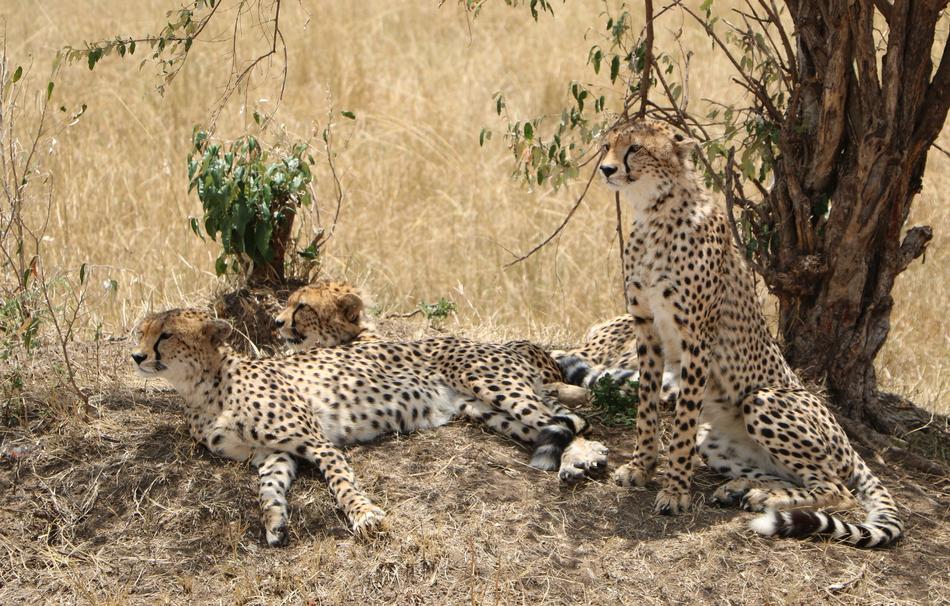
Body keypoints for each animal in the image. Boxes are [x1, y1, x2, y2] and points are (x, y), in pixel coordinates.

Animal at [132, 308, 608, 546]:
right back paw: (574, 458)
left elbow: (343, 484)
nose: (137, 356)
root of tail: (503, 343)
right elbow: (267, 488)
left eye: (166, 335)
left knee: (568, 418)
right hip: (485, 410)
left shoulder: (317, 441)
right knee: (553, 421)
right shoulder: (274, 453)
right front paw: (275, 522)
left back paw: (584, 458)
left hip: (491, 384)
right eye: (140, 332)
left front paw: (365, 517)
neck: (203, 388)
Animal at [596, 118, 902, 547]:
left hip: (763, 400)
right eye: (607, 144)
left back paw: (764, 498)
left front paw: (674, 491)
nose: (606, 169)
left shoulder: (696, 338)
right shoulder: (647, 329)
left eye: (635, 148)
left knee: (838, 490)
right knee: (795, 476)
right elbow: (646, 407)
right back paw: (746, 490)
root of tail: (848, 444)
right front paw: (641, 468)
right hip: (715, 440)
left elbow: (683, 423)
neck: (655, 210)